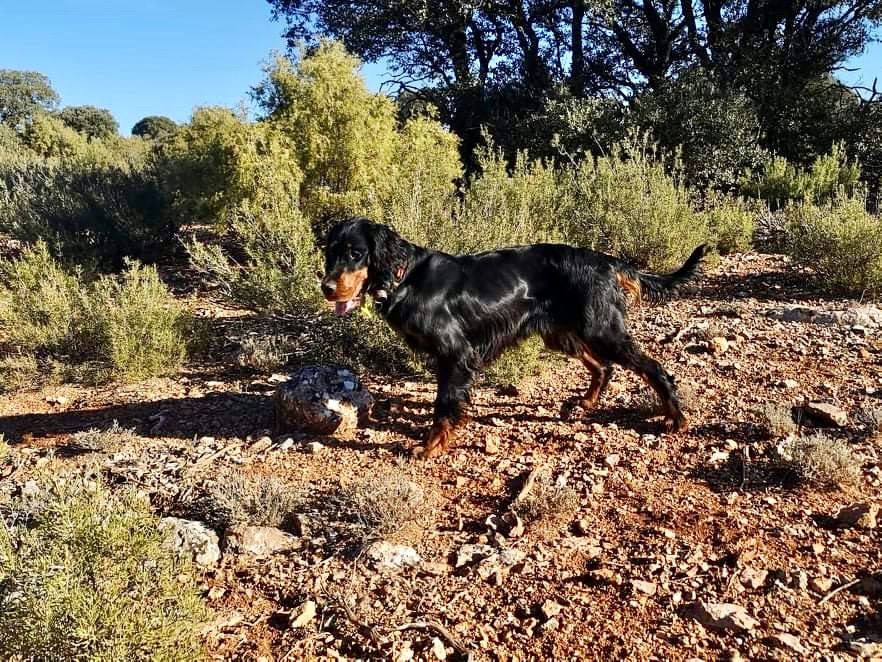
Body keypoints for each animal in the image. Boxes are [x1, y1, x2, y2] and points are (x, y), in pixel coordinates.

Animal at [320, 218, 704, 462]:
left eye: (355, 253)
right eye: (330, 252)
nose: (326, 287)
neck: (404, 278)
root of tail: (607, 262)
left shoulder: (456, 354)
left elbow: (444, 406)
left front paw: (430, 447)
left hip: (601, 330)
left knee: (654, 369)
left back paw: (676, 418)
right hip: (562, 333)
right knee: (603, 367)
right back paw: (584, 402)